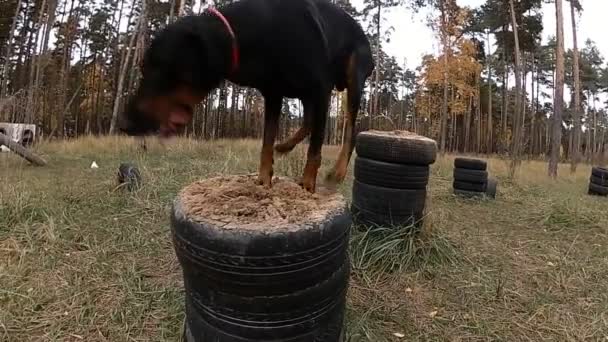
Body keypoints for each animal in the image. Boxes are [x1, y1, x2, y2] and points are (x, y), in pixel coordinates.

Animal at [120, 0, 372, 192]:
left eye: (158, 68)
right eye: (142, 67)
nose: (125, 124)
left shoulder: (320, 88)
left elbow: (316, 147)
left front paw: (308, 184)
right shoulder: (274, 94)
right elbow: (266, 143)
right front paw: (263, 180)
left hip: (353, 77)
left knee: (350, 129)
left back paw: (337, 172)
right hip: (305, 95)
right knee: (309, 121)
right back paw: (285, 146)